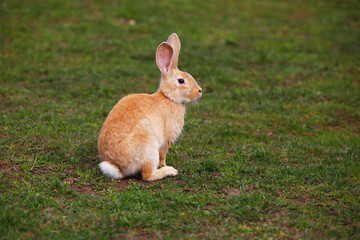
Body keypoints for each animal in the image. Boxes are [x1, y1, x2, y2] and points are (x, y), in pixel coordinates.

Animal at [97, 32, 201, 181]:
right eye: (181, 81)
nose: (200, 91)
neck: (168, 97)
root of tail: (119, 167)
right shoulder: (165, 140)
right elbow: (163, 155)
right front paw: (165, 165)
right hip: (149, 148)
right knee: (147, 175)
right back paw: (169, 171)